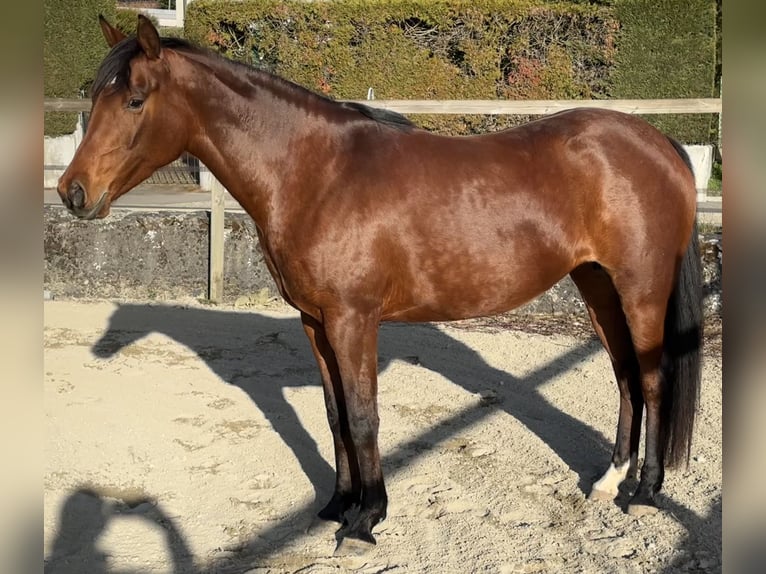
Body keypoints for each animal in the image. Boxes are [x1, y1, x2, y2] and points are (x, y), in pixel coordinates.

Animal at [56, 15, 703, 548]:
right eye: (94, 95)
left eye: (134, 99)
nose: (73, 193)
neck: (314, 173)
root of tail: (659, 143)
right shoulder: (315, 322)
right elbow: (336, 414)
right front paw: (336, 506)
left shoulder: (353, 319)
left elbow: (365, 415)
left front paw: (366, 520)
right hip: (597, 287)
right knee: (624, 377)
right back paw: (607, 480)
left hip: (640, 291)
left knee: (651, 378)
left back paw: (644, 493)